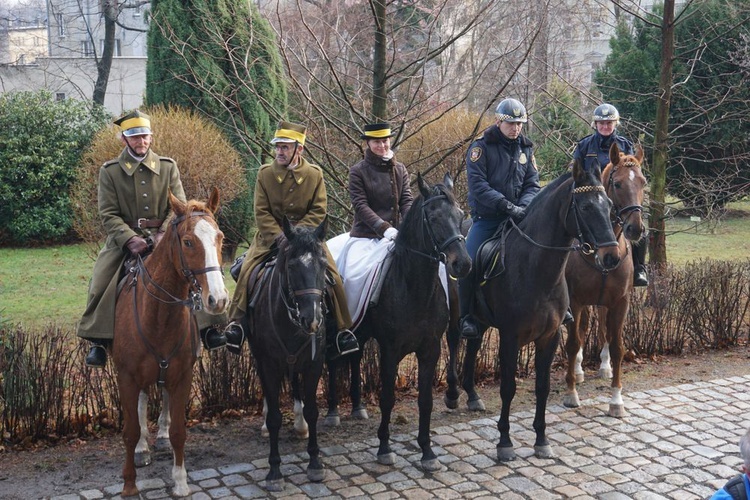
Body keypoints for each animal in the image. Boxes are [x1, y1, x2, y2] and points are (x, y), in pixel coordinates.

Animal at [113, 189, 228, 498]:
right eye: (188, 242)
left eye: (220, 237)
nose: (218, 299)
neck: (159, 315)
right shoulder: (127, 377)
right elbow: (129, 430)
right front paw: (129, 484)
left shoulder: (183, 375)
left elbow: (179, 430)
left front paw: (180, 481)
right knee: (141, 404)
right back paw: (142, 448)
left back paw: (160, 437)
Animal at [247, 217, 328, 490]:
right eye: (292, 266)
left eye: (323, 264)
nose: (312, 319)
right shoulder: (269, 365)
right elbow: (274, 417)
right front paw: (274, 471)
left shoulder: (314, 364)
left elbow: (313, 411)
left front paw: (315, 463)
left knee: (294, 384)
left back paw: (300, 424)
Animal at [326, 172, 472, 468]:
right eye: (434, 217)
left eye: (461, 213)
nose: (462, 264)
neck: (412, 285)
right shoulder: (390, 350)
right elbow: (388, 398)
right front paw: (384, 447)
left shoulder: (430, 349)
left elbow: (426, 400)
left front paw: (427, 451)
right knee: (332, 362)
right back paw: (333, 411)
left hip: (360, 331)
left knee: (353, 357)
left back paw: (357, 407)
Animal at [446, 159, 624, 460]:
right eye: (586, 207)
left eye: (610, 205)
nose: (611, 257)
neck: (536, 270)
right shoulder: (510, 337)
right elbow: (508, 388)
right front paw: (504, 442)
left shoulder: (549, 337)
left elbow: (543, 388)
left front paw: (541, 440)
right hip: (454, 316)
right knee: (453, 342)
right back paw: (451, 394)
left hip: (480, 320)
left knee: (472, 344)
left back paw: (472, 395)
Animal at [568, 143, 648, 416]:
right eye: (618, 184)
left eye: (643, 182)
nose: (636, 229)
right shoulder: (576, 300)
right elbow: (576, 339)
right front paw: (572, 388)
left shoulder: (620, 301)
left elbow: (617, 346)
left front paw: (616, 401)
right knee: (582, 330)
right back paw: (579, 369)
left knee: (602, 327)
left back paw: (604, 366)